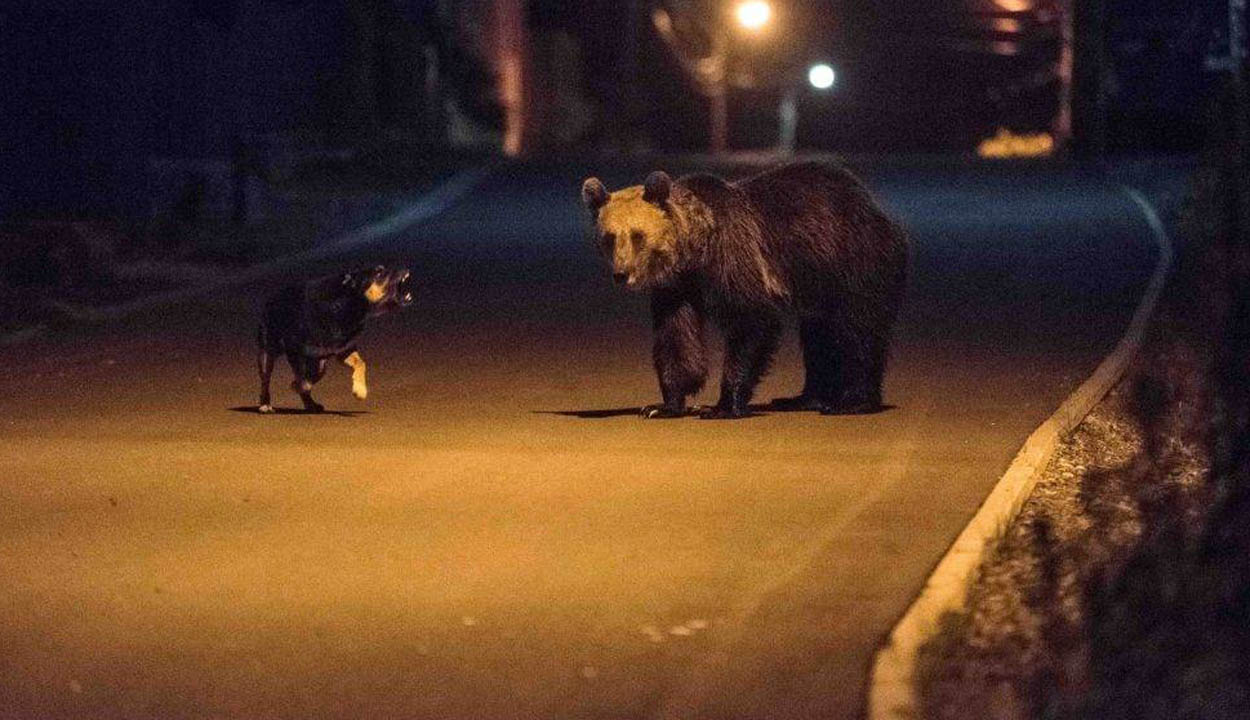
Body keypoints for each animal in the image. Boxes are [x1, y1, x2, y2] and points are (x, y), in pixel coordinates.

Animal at [258, 266, 415, 412]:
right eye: (379, 274)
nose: (405, 269)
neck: (346, 306)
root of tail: (271, 297)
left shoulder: (344, 350)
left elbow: (360, 363)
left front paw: (360, 389)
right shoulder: (294, 350)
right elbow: (303, 380)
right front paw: (298, 385)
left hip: (319, 360)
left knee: (318, 372)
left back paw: (310, 404)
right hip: (267, 353)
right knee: (266, 380)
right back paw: (265, 404)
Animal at [580, 160, 905, 420]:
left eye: (637, 235)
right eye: (609, 237)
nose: (622, 275)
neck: (695, 249)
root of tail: (876, 207)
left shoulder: (734, 255)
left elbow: (752, 319)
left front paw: (722, 406)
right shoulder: (676, 286)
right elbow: (676, 337)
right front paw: (663, 405)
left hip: (853, 262)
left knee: (856, 330)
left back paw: (850, 401)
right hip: (817, 285)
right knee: (817, 334)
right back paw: (803, 398)